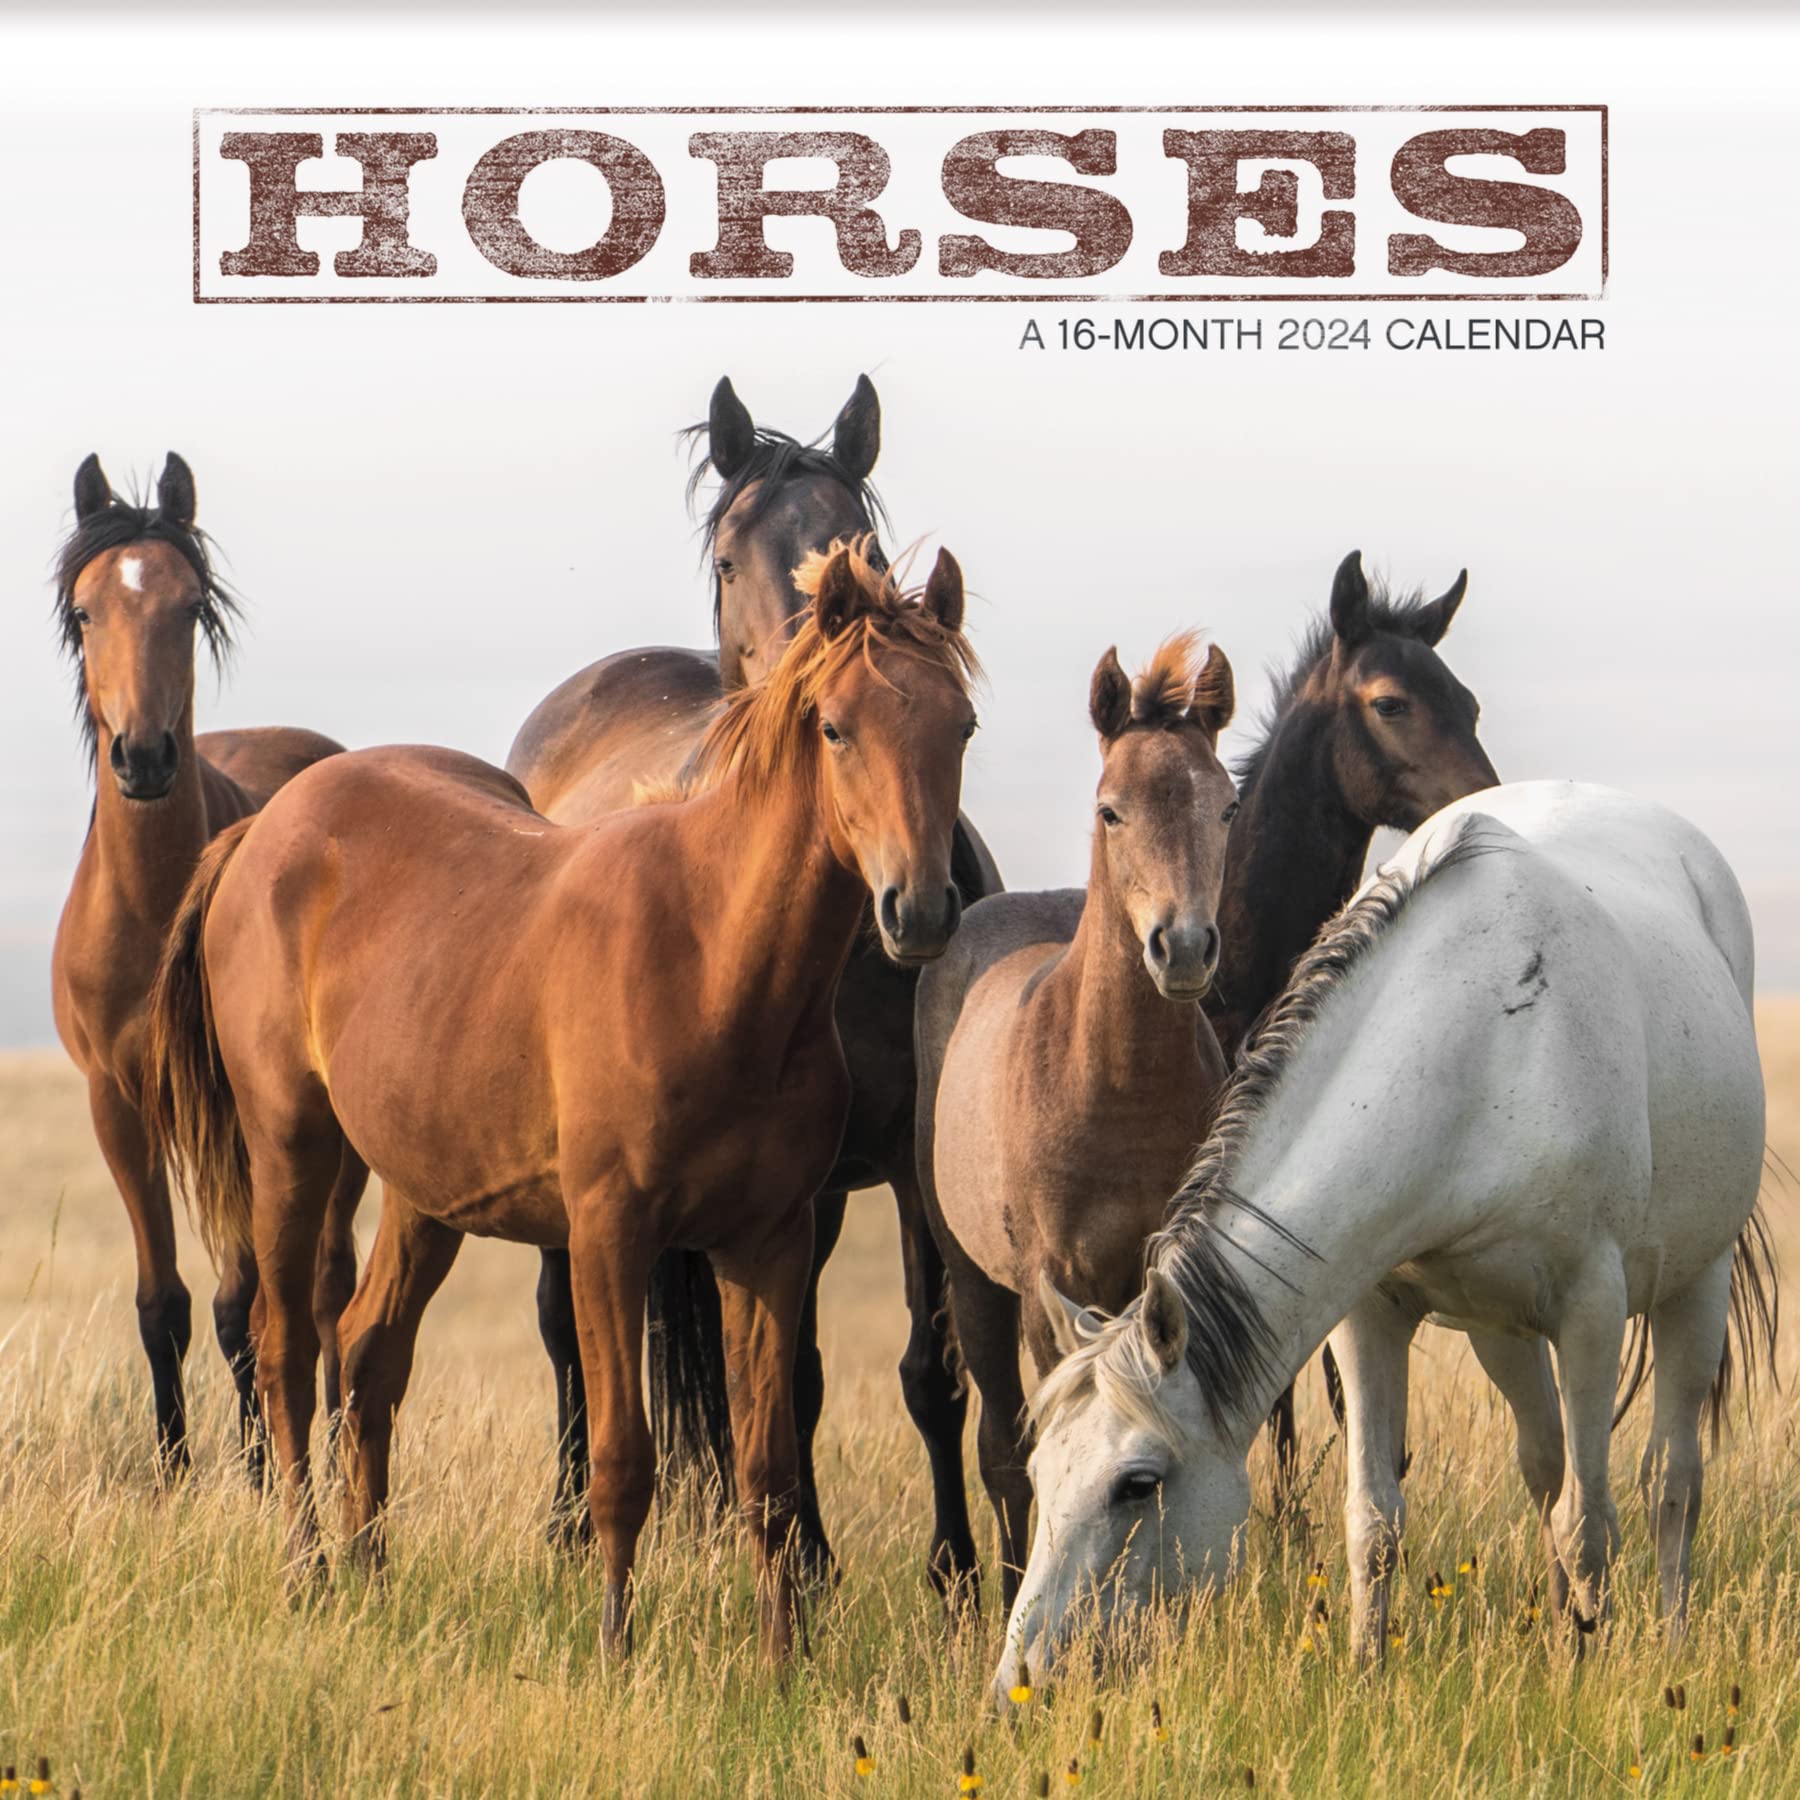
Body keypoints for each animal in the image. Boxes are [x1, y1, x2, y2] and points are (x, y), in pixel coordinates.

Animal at [48, 451, 357, 1479]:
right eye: (85, 610)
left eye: (189, 607)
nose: (143, 758)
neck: (153, 908)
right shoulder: (117, 1106)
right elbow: (164, 1308)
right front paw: (178, 1471)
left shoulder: (242, 1115)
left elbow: (244, 1306)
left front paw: (261, 1473)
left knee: (323, 1286)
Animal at [145, 540, 979, 1660]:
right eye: (837, 727)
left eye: (960, 726)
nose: (919, 910)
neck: (712, 954)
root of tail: (266, 830)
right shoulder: (609, 1237)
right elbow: (624, 1459)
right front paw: (619, 1648)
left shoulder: (769, 1241)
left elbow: (767, 1467)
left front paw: (782, 1661)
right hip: (293, 1151)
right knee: (287, 1352)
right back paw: (309, 1576)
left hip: (423, 1194)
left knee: (368, 1352)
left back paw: (371, 1579)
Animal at [505, 374, 1001, 1584]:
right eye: (729, 560)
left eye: (859, 542)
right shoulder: (801, 1188)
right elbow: (798, 1379)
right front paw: (807, 1565)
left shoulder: (908, 1167)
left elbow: (929, 1373)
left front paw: (957, 1576)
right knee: (563, 1331)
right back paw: (566, 1527)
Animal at [913, 634, 1238, 1613]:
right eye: (1112, 810)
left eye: (1226, 805)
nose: (1184, 948)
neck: (1115, 1088)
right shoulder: (1043, 1280)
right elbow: (1030, 1443)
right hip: (971, 1278)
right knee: (996, 1447)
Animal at [998, 782, 1778, 1698]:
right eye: (1040, 1472)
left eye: (1137, 1485)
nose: (1019, 1681)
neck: (1483, 1041)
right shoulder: (1370, 1316)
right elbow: (1375, 1519)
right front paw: (1370, 1674)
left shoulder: (1592, 1313)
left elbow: (1589, 1525)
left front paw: (1590, 1681)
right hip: (1497, 1331)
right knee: (1545, 1464)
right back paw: (1563, 1635)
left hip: (1697, 1287)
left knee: (1669, 1483)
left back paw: (1669, 1640)